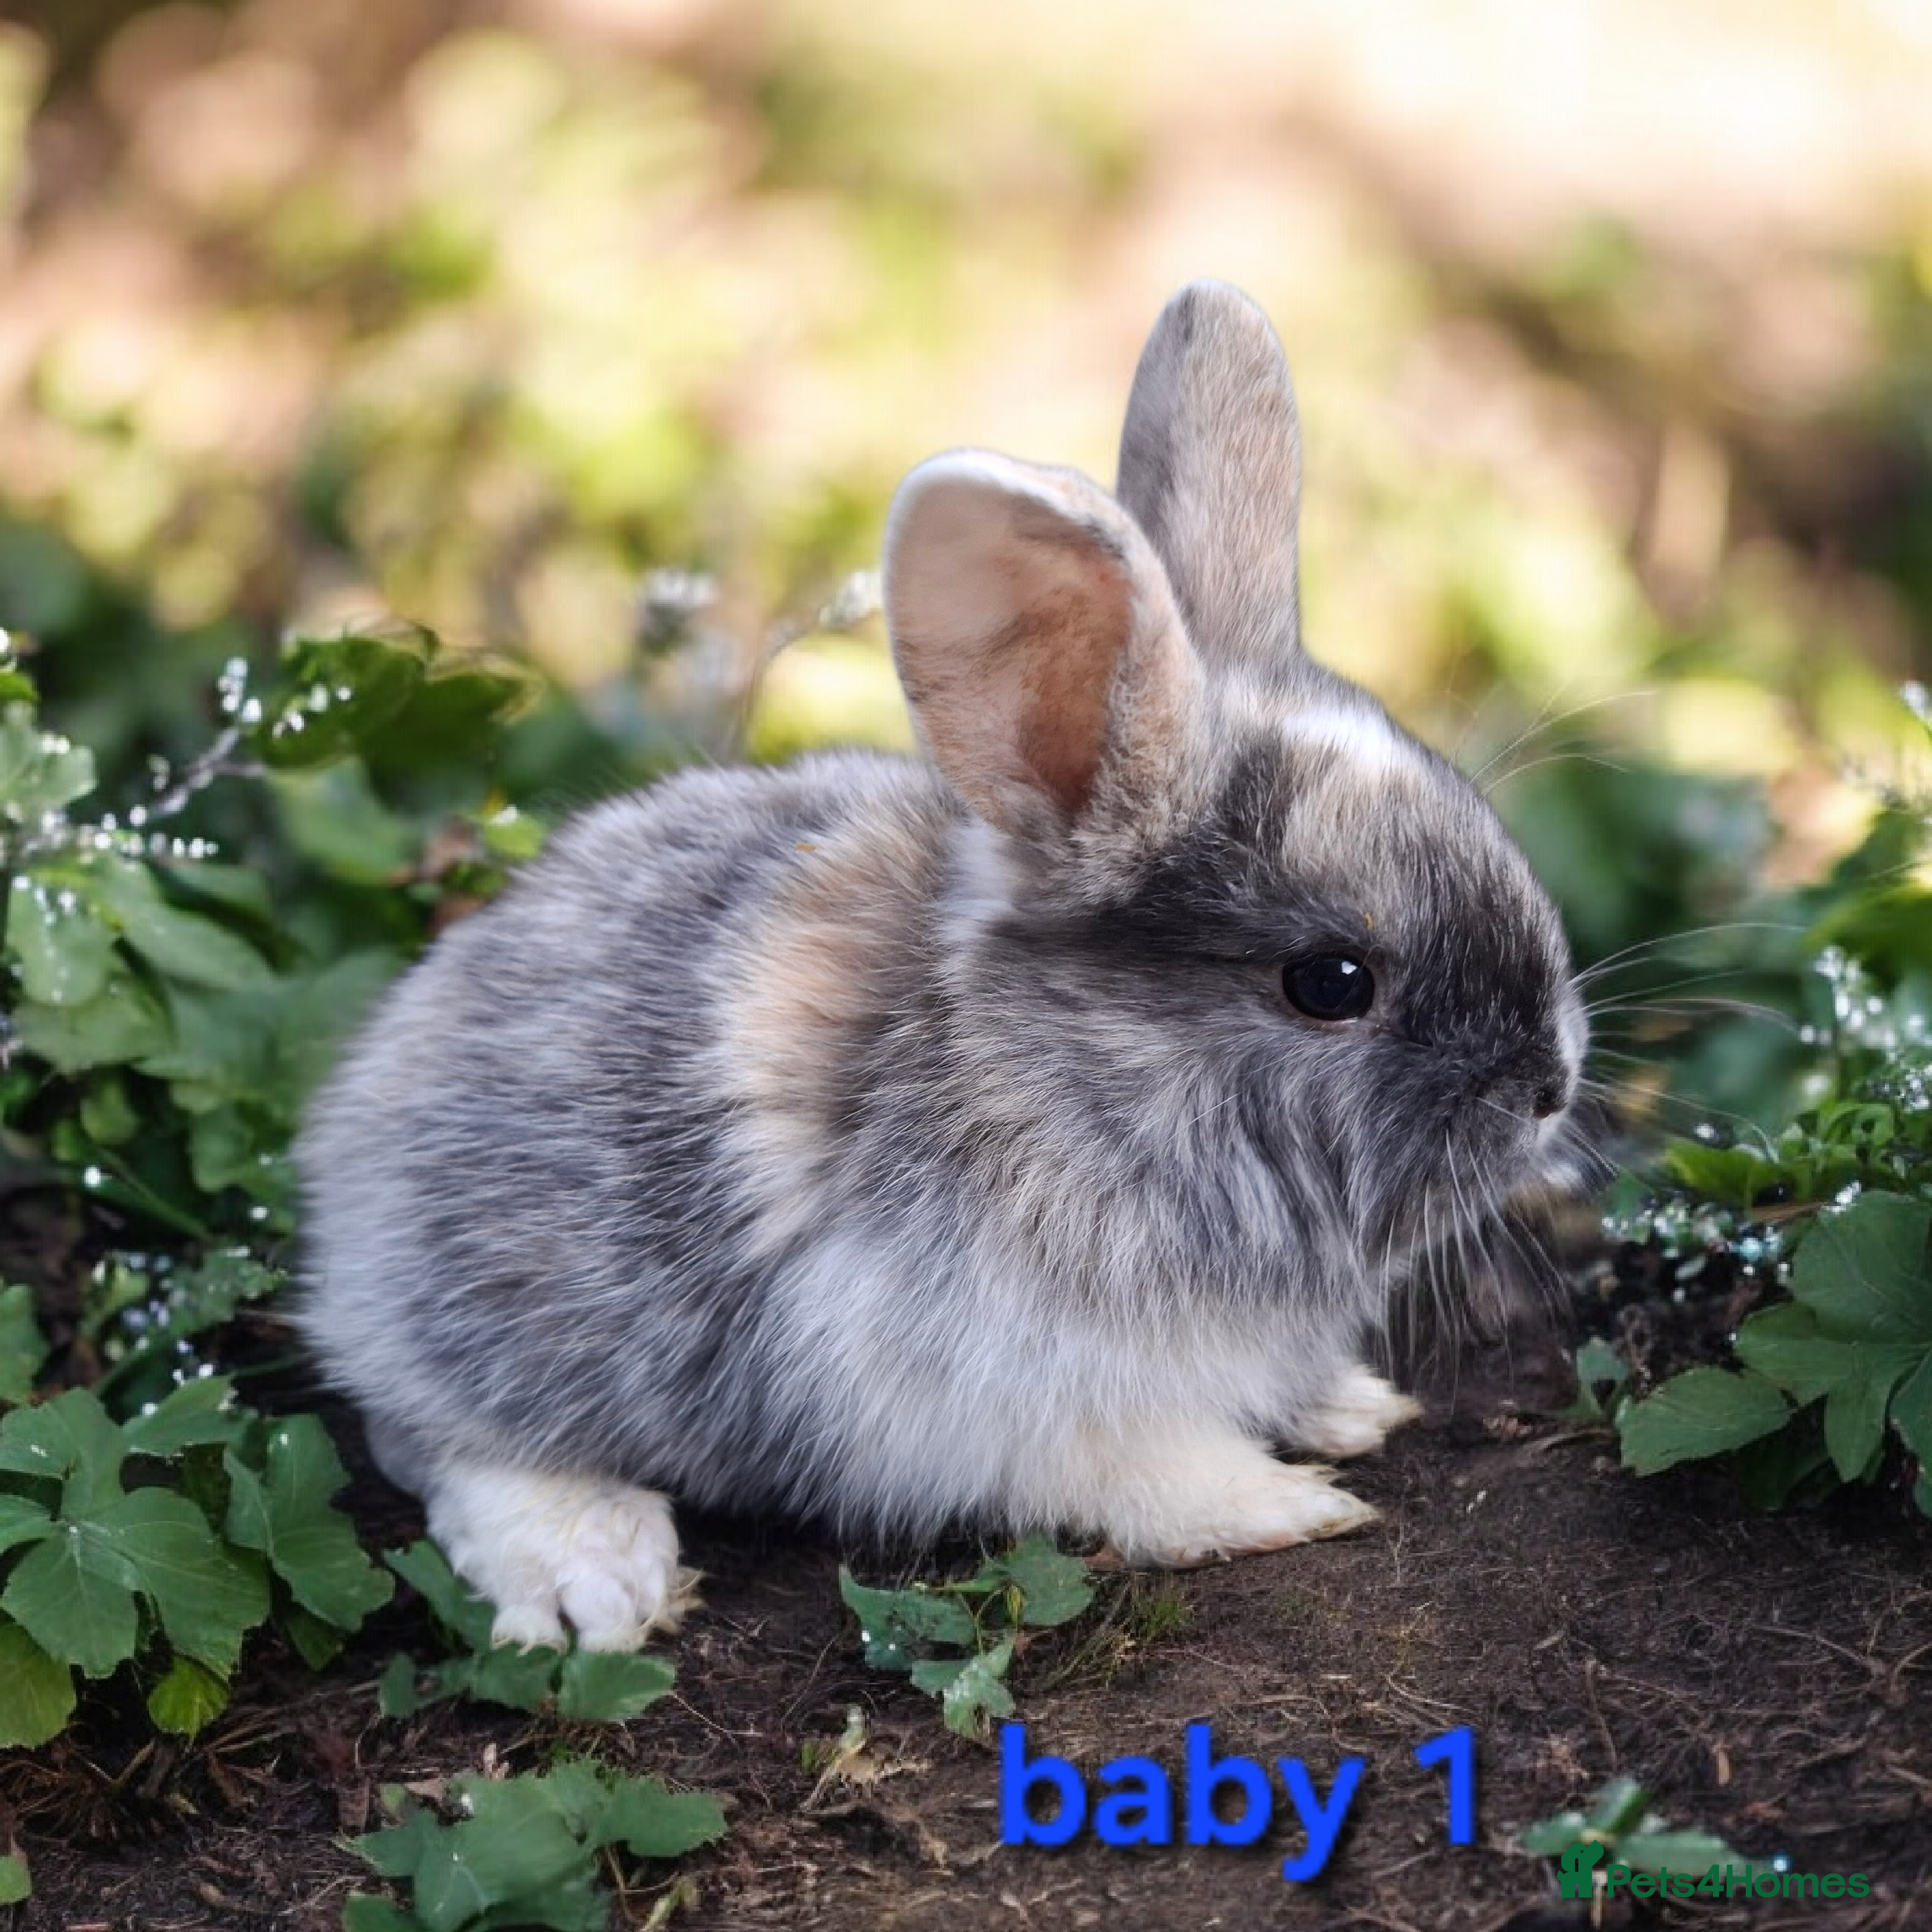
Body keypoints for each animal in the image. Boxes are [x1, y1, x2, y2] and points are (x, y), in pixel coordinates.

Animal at [296, 280, 1589, 1654]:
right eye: (1331, 981)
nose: (1549, 1085)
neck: (1089, 1087)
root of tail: (348, 1153)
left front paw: (1351, 1408)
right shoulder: (999, 1385)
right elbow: (1145, 1473)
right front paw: (1289, 1506)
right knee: (436, 1437)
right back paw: (594, 1573)